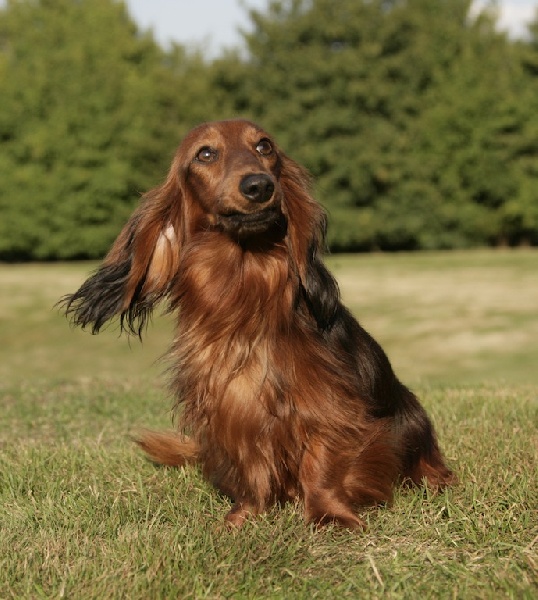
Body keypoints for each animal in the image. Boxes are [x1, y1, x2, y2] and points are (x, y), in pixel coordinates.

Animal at [63, 119, 454, 529]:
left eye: (265, 147)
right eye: (205, 153)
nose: (259, 185)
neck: (247, 299)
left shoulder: (329, 407)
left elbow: (322, 463)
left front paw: (330, 516)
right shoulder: (233, 408)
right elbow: (252, 464)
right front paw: (246, 515)